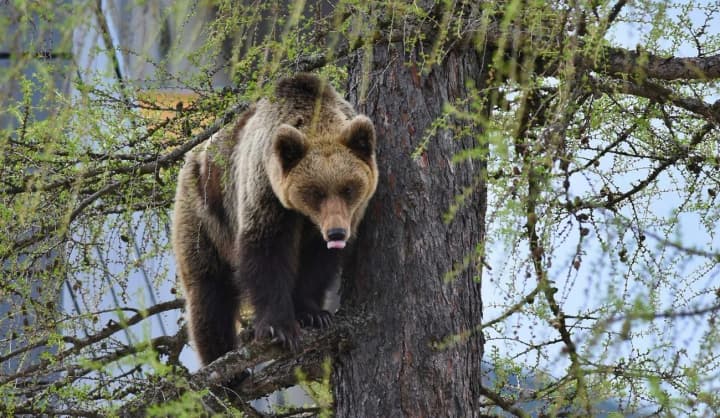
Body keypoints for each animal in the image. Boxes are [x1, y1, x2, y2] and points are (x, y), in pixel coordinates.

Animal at [171, 74, 378, 365]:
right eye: (316, 191)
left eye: (348, 188)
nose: (336, 233)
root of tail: (192, 156)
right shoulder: (265, 193)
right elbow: (266, 254)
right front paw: (279, 327)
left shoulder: (340, 220)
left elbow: (317, 264)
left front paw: (313, 313)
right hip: (204, 218)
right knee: (209, 294)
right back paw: (220, 357)